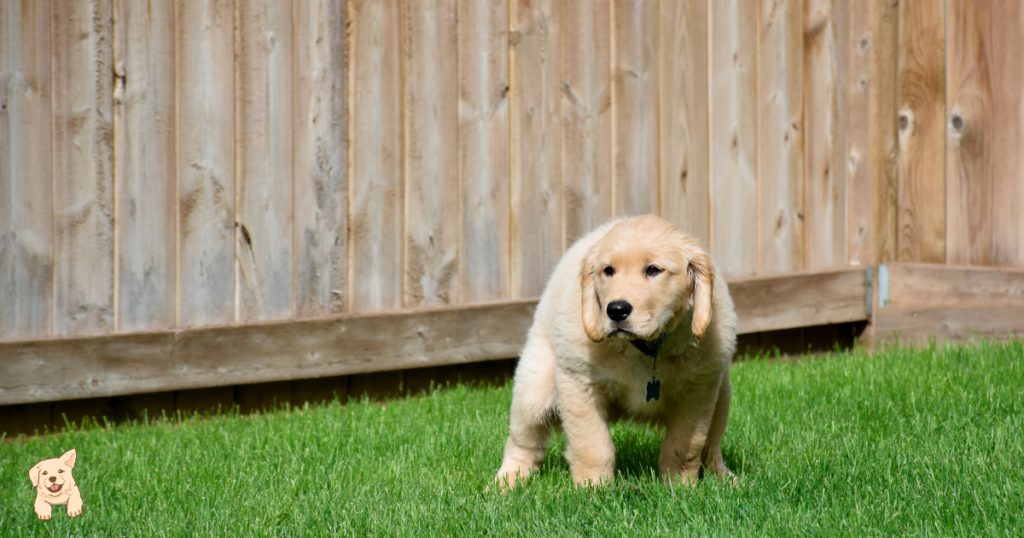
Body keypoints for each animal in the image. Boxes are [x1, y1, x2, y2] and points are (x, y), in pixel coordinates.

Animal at [495, 214, 737, 485]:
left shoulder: (699, 391)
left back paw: (724, 479)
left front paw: (681, 486)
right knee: (523, 442)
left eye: (653, 270)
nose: (616, 310)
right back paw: (507, 483)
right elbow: (593, 446)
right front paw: (593, 487)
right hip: (534, 390)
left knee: (711, 447)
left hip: (722, 396)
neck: (645, 349)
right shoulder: (579, 384)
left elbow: (684, 446)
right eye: (608, 270)